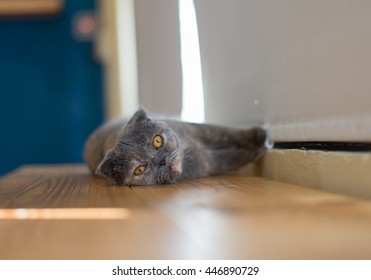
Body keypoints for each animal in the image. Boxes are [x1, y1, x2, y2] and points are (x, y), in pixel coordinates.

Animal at [84, 108, 266, 185]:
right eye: (139, 169)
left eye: (157, 141)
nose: (162, 161)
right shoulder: (208, 163)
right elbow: (232, 158)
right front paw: (257, 151)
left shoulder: (199, 130)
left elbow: (225, 133)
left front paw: (259, 135)